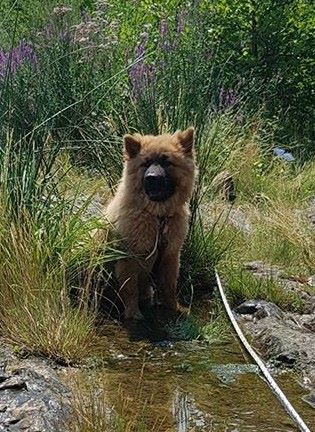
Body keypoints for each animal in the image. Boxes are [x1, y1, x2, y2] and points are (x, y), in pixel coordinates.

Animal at [105, 126, 196, 318]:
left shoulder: (170, 256)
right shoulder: (129, 259)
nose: (152, 177)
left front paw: (174, 308)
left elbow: (169, 287)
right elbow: (130, 289)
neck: (157, 217)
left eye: (166, 162)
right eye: (145, 164)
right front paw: (133, 314)